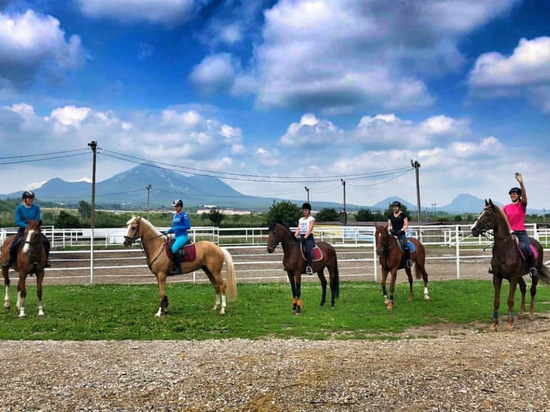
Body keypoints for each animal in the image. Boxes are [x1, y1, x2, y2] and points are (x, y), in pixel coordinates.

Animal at [470, 198, 550, 330]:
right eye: (481, 212)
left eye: (488, 214)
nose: (473, 229)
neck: (505, 249)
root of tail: (537, 244)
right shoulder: (497, 277)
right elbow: (496, 301)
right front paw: (494, 323)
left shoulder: (512, 277)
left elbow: (510, 300)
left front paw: (509, 323)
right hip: (519, 276)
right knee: (523, 288)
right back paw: (521, 313)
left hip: (534, 274)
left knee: (532, 290)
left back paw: (531, 314)